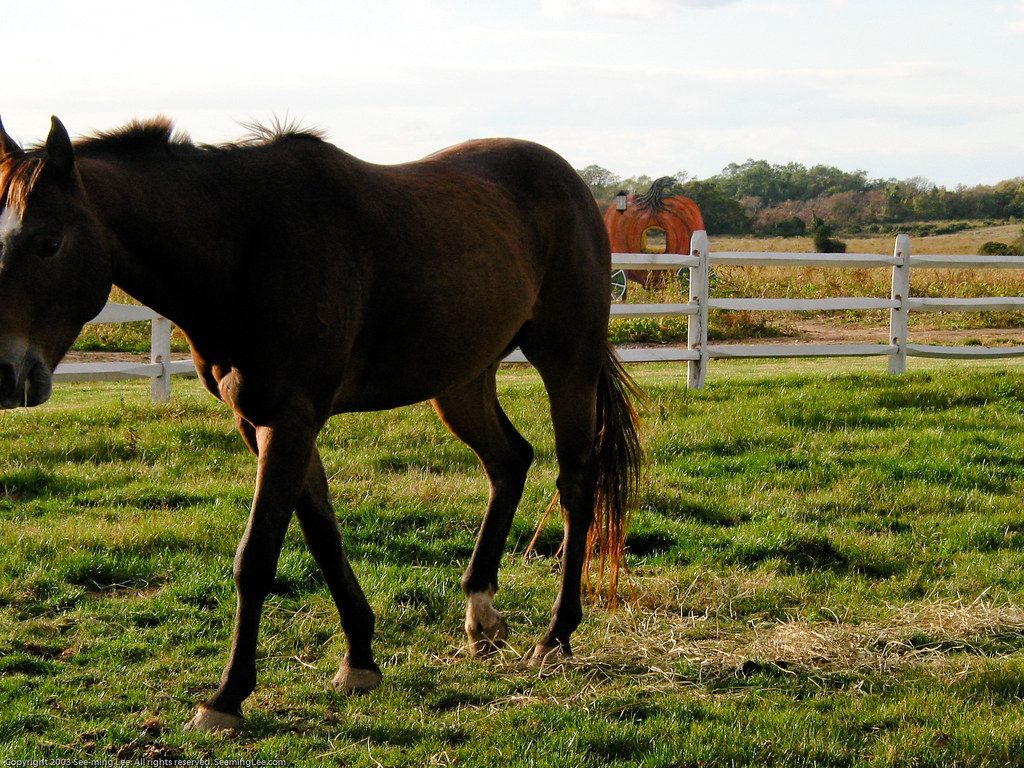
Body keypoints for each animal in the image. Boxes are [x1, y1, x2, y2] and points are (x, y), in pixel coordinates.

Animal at [0, 115, 643, 733]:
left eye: (49, 242)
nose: (9, 374)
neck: (245, 245)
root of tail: (573, 185)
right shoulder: (262, 423)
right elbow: (323, 536)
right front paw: (359, 657)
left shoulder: (290, 420)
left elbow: (257, 558)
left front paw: (227, 697)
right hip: (462, 380)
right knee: (509, 461)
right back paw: (480, 612)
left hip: (567, 361)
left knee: (576, 486)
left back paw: (555, 637)